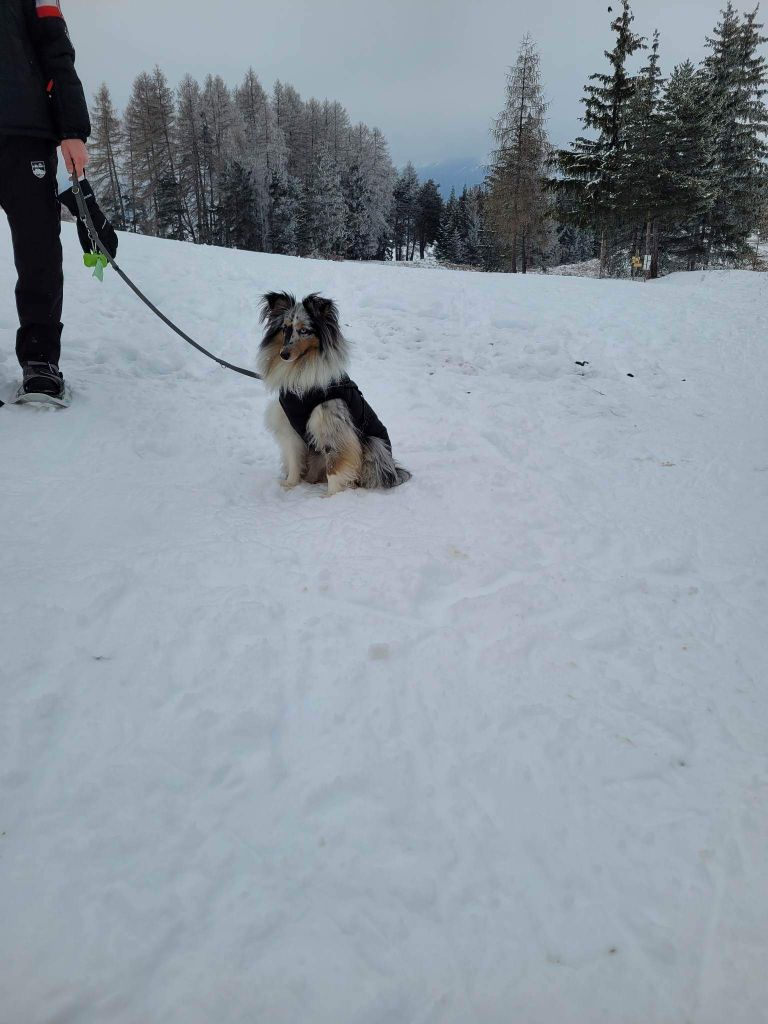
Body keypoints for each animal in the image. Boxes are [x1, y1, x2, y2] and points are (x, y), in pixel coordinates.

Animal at [260, 292, 415, 495]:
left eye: (304, 330)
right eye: (285, 328)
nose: (283, 354)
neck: (300, 370)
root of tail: (395, 472)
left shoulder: (333, 426)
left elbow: (334, 465)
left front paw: (331, 496)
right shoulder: (289, 426)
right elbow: (294, 460)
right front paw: (290, 485)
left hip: (374, 444)